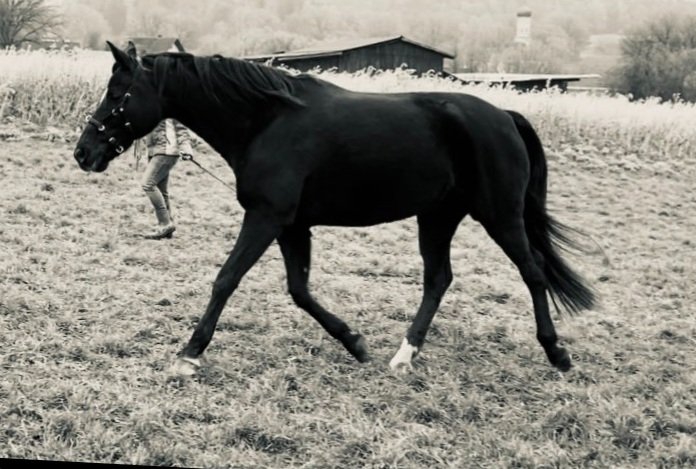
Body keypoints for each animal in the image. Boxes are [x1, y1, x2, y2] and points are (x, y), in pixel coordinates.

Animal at [74, 41, 596, 376]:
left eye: (117, 95)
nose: (83, 152)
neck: (267, 120)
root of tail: (504, 116)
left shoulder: (266, 217)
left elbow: (226, 279)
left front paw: (190, 352)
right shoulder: (291, 225)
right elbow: (299, 290)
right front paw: (356, 343)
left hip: (500, 216)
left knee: (532, 272)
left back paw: (557, 354)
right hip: (437, 217)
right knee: (438, 279)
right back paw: (404, 356)